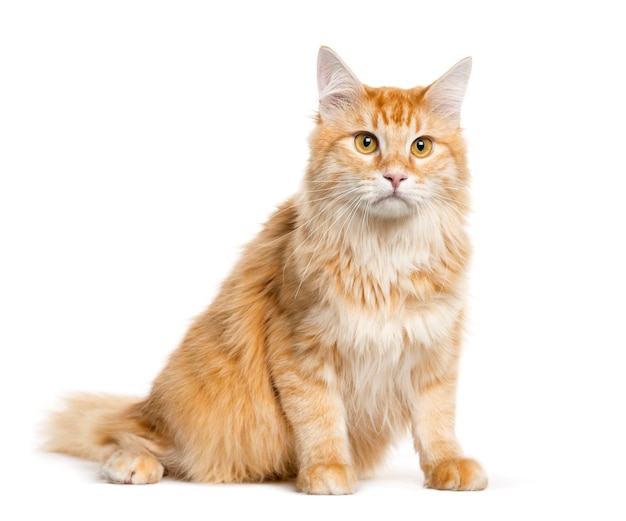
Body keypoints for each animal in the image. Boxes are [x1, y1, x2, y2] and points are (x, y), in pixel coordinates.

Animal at [42, 44, 488, 492]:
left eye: (421, 147)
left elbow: (437, 420)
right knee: (127, 436)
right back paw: (132, 464)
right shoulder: (300, 347)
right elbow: (319, 417)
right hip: (198, 399)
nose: (395, 176)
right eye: (366, 143)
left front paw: (449, 464)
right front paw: (327, 468)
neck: (386, 253)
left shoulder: (436, 351)